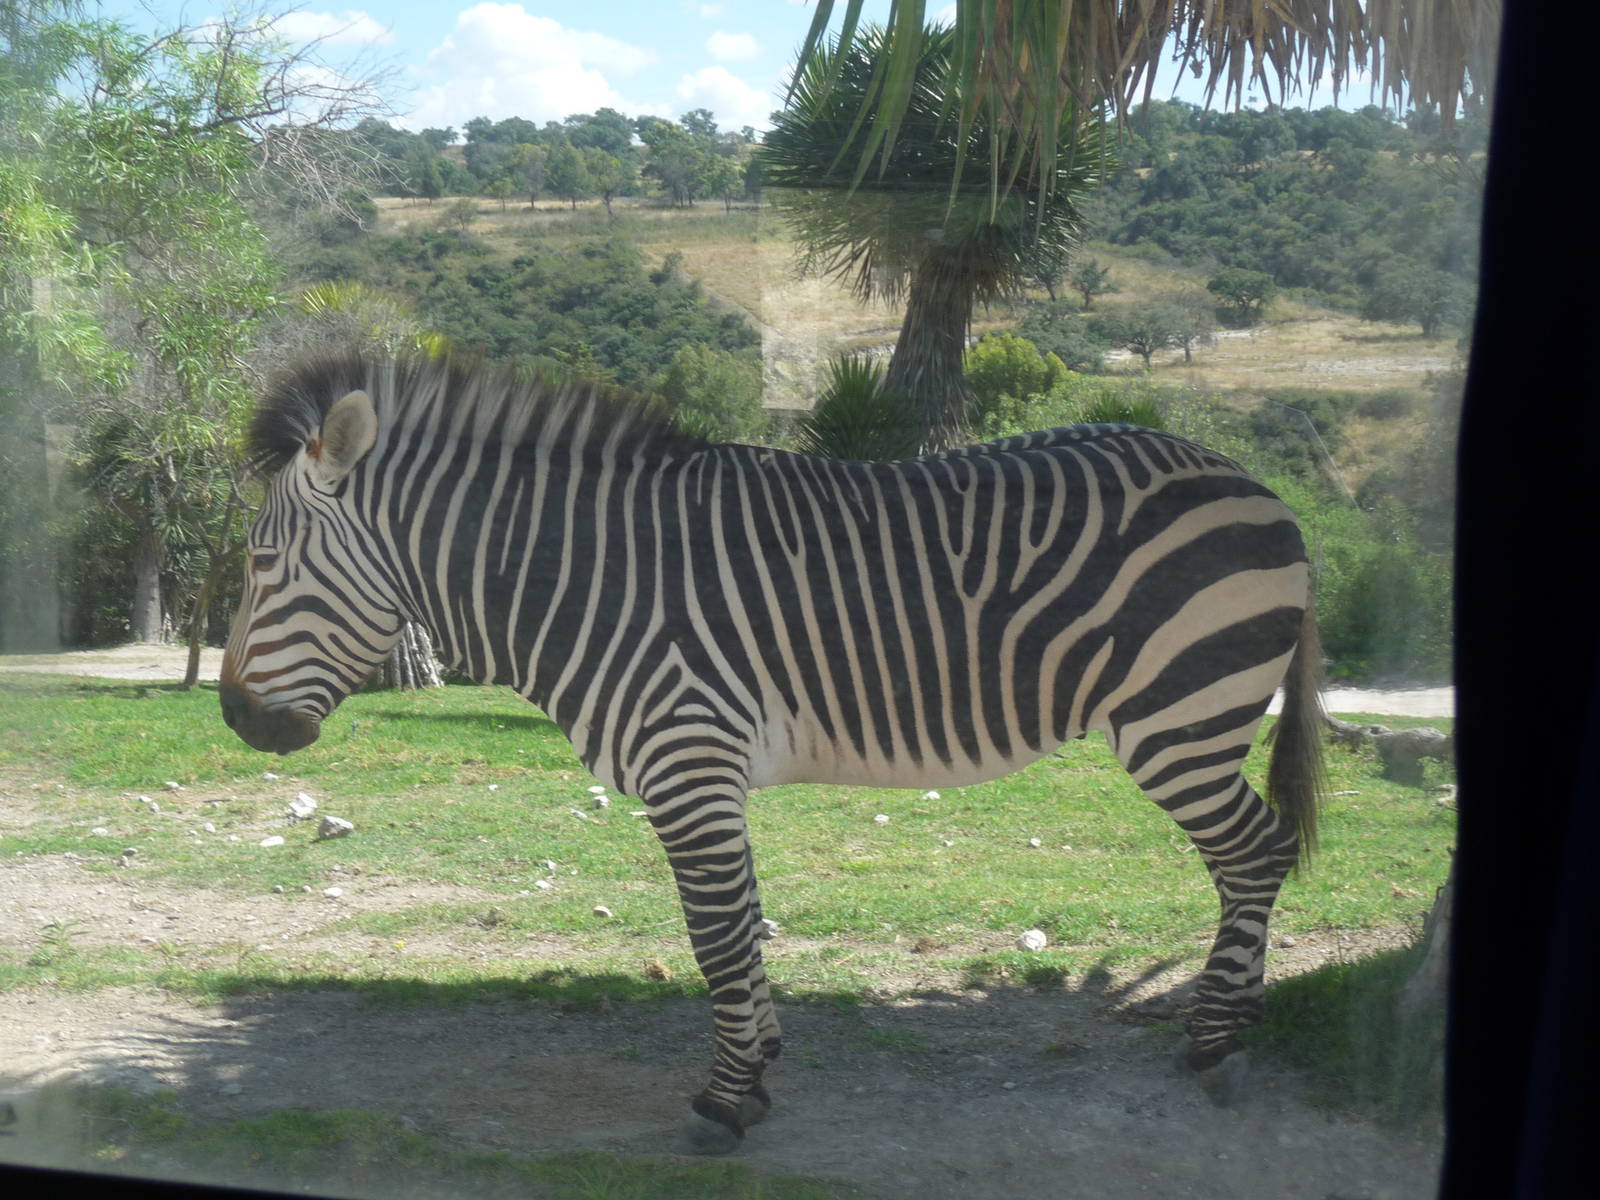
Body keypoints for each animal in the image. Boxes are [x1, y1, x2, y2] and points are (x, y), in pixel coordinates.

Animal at [220, 350, 1324, 1154]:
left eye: (263, 563)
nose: (233, 718)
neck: (586, 577)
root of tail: (1257, 487)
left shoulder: (687, 761)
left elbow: (714, 936)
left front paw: (723, 1102)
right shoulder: (709, 775)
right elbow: (745, 924)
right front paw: (762, 1062)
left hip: (1179, 719)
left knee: (1256, 855)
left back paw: (1216, 1045)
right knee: (1256, 857)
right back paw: (1232, 1026)